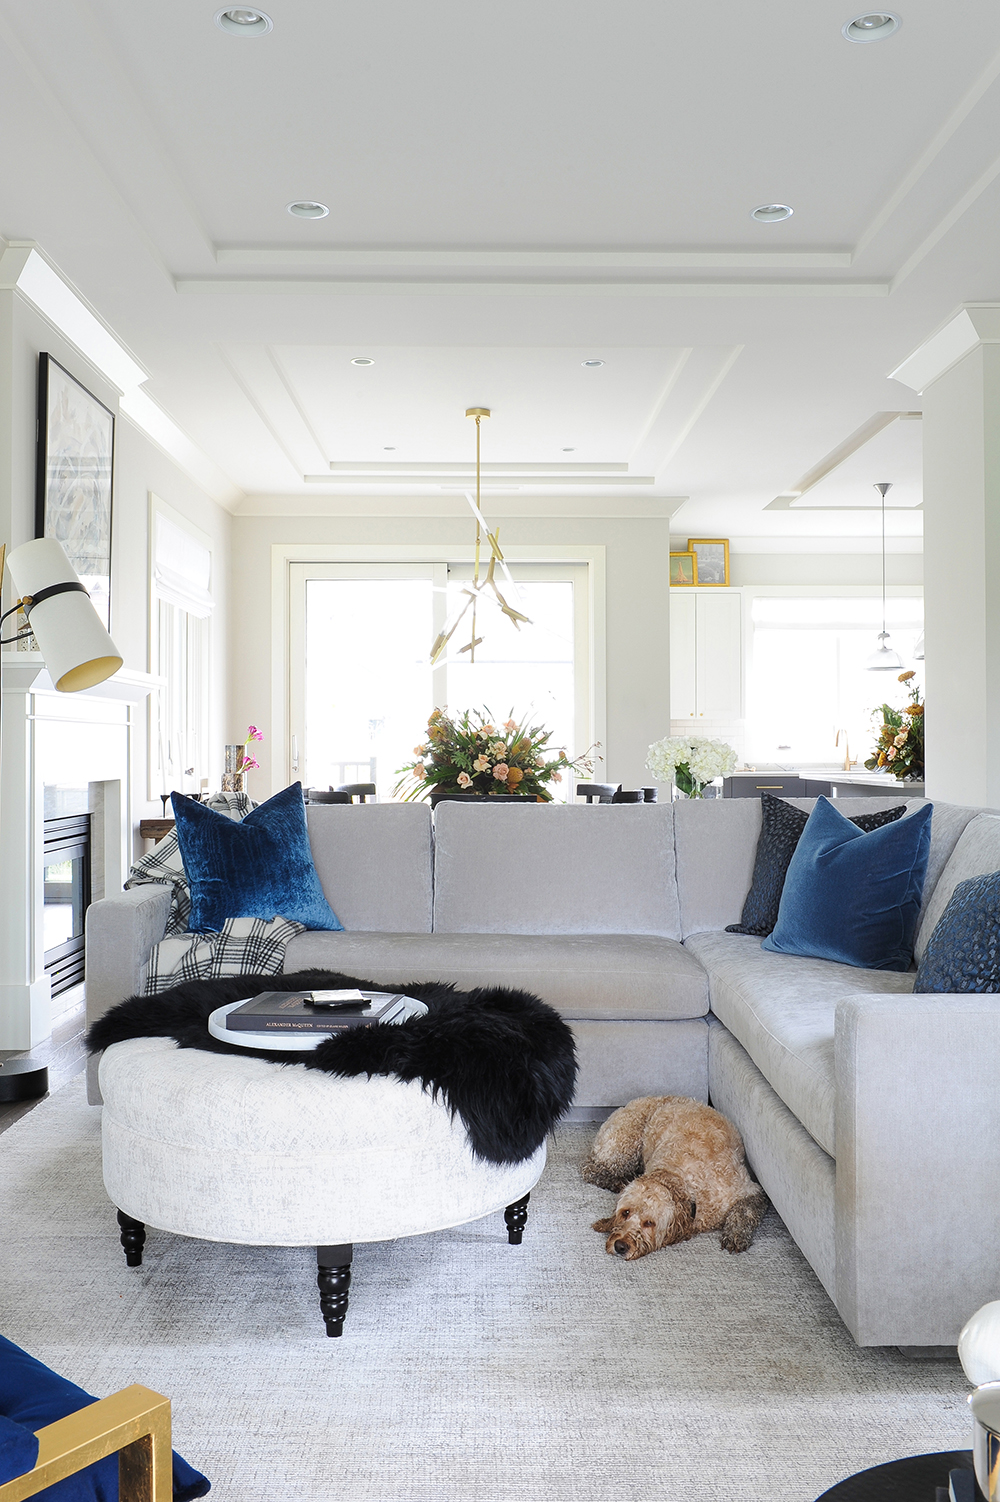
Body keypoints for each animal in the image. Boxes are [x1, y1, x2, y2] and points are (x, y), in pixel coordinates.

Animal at [579, 1099, 765, 1261]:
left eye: (649, 1223)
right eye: (625, 1212)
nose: (620, 1246)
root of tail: (625, 1105)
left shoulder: (750, 1190)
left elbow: (745, 1211)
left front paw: (736, 1235)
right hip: (625, 1145)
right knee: (591, 1170)